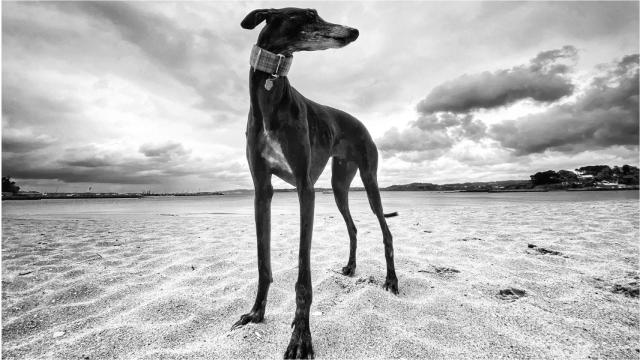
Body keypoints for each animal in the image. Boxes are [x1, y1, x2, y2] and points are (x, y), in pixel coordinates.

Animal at [232, 7, 398, 358]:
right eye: (309, 14)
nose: (354, 31)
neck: (271, 95)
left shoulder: (305, 189)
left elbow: (302, 278)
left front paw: (300, 336)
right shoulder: (261, 192)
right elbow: (263, 264)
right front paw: (256, 312)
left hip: (369, 178)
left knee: (385, 230)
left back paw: (392, 281)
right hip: (339, 185)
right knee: (353, 227)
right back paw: (350, 267)